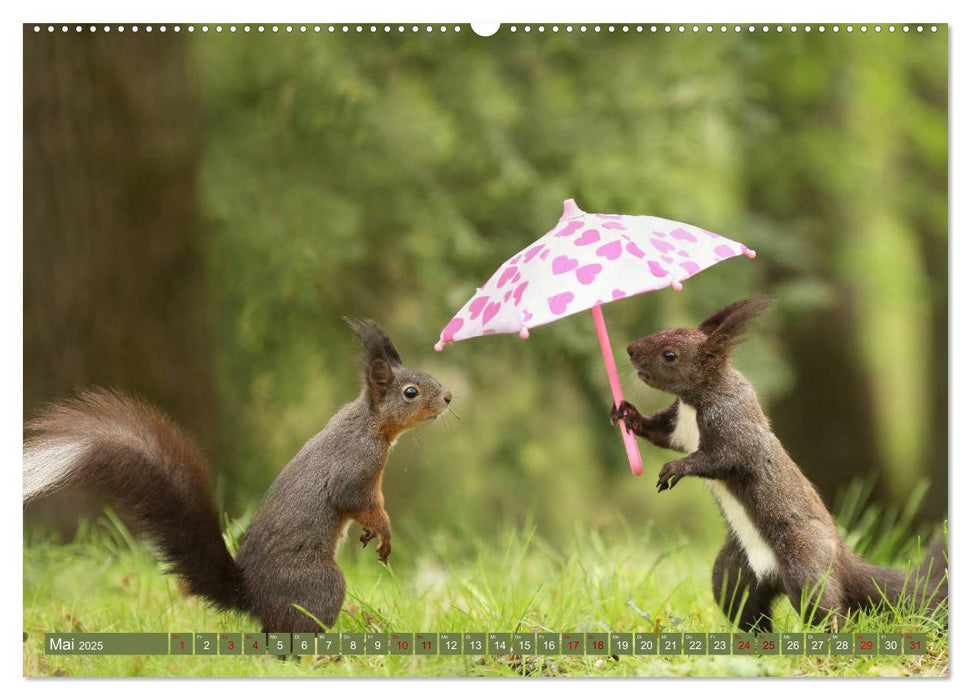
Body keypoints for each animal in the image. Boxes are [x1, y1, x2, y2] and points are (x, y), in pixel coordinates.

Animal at [21, 318, 456, 636]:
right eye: (411, 392)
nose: (448, 397)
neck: (371, 426)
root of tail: (251, 596)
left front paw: (369, 534)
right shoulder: (355, 467)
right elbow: (356, 500)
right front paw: (383, 532)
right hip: (321, 584)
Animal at [612, 298, 944, 632]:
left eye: (670, 354)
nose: (630, 349)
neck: (698, 400)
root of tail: (841, 558)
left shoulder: (736, 428)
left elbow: (723, 458)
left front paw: (675, 468)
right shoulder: (678, 426)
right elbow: (660, 432)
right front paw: (627, 414)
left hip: (805, 563)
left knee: (826, 609)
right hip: (734, 573)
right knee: (745, 608)